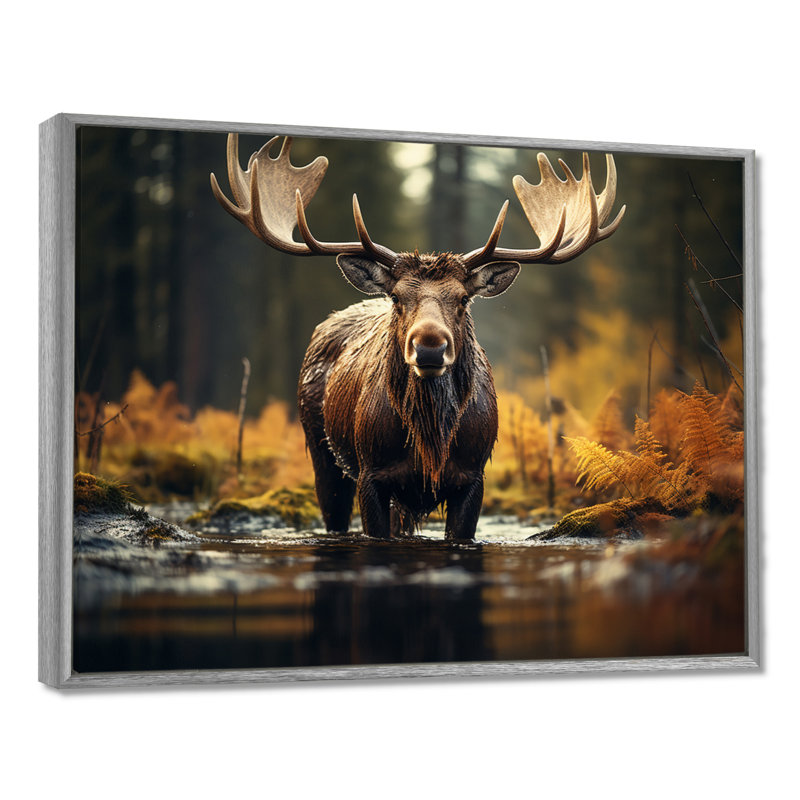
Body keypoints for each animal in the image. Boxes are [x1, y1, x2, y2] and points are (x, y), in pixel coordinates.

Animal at [210, 134, 625, 540]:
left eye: (462, 298)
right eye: (396, 296)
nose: (429, 347)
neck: (430, 445)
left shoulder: (473, 477)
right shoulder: (372, 474)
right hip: (321, 450)